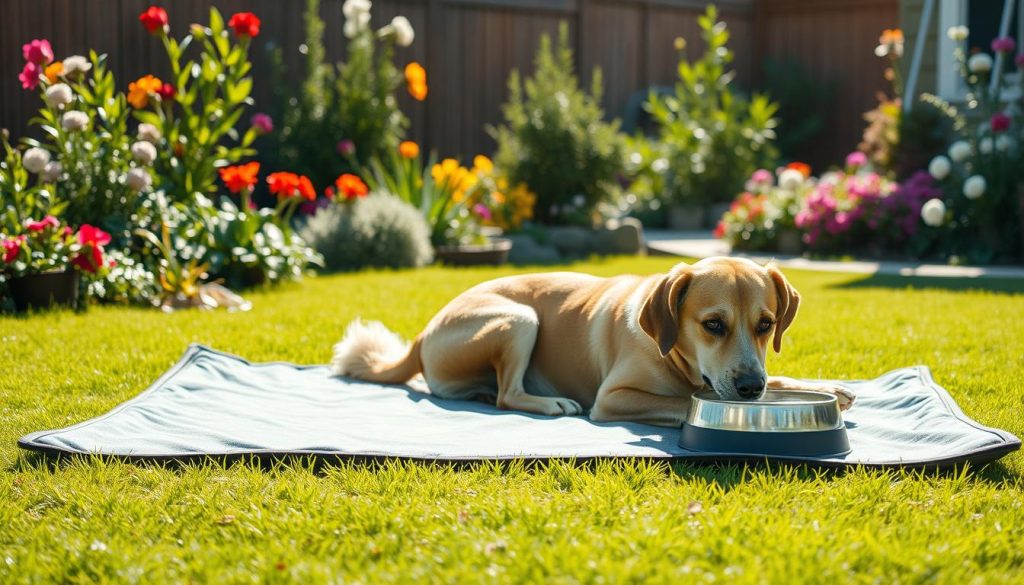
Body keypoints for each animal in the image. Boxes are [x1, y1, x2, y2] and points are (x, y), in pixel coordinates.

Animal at [331, 258, 851, 428]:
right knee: (507, 395)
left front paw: (829, 388)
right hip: (519, 318)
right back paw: (549, 403)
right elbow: (684, 399)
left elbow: (780, 377)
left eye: (766, 324)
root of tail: (423, 332)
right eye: (713, 325)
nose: (749, 389)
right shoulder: (614, 398)